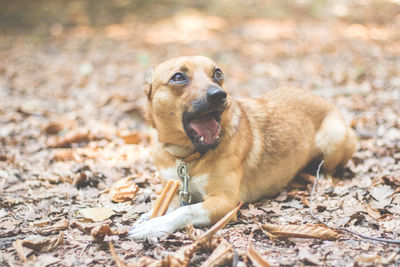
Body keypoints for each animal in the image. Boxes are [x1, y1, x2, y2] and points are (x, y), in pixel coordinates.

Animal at [127, 55, 354, 240]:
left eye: (218, 73)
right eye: (178, 77)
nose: (218, 95)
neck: (187, 155)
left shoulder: (225, 202)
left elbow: (184, 211)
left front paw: (154, 225)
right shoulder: (174, 188)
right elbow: (165, 204)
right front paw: (149, 215)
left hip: (333, 137)